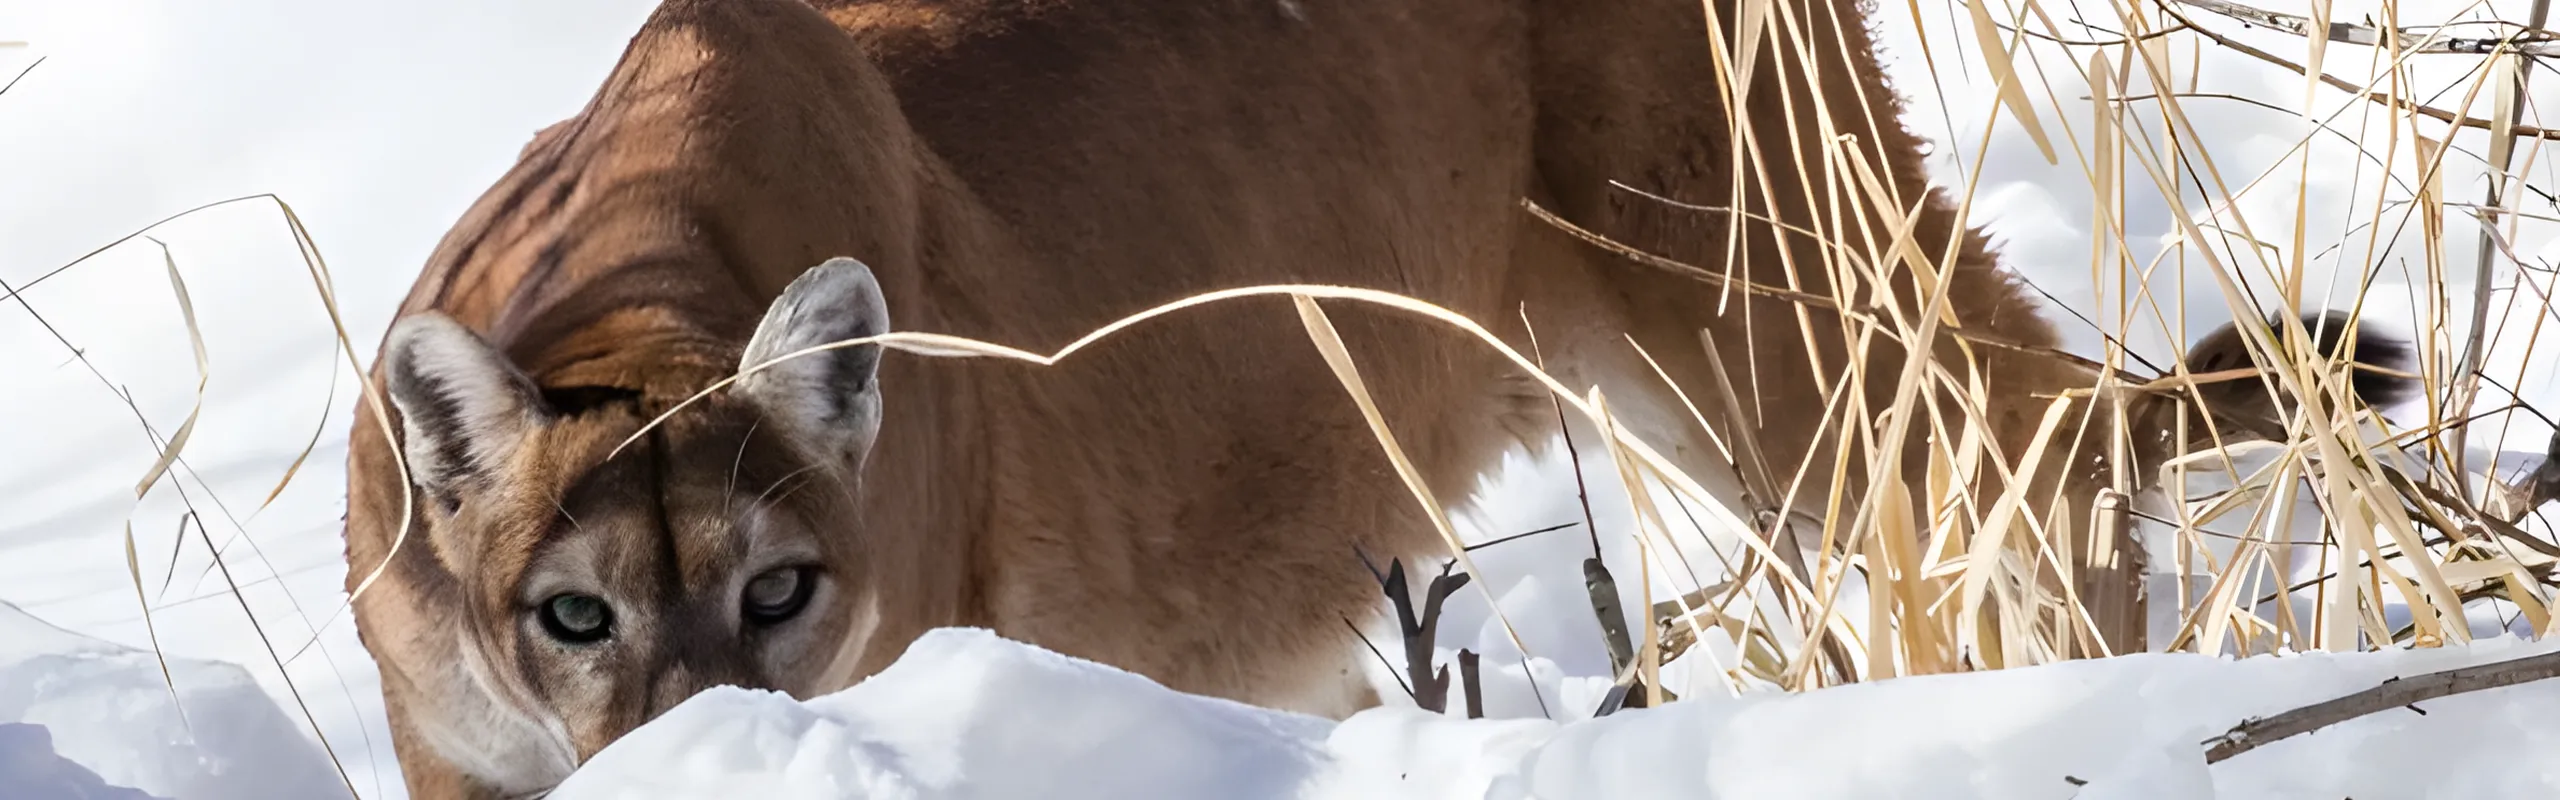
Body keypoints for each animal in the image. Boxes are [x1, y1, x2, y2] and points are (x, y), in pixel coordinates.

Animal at [342, 0, 2418, 795]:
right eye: (573, 614)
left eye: (781, 590)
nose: (699, 748)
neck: (654, 287)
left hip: (1753, 297)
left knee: (2027, 455)